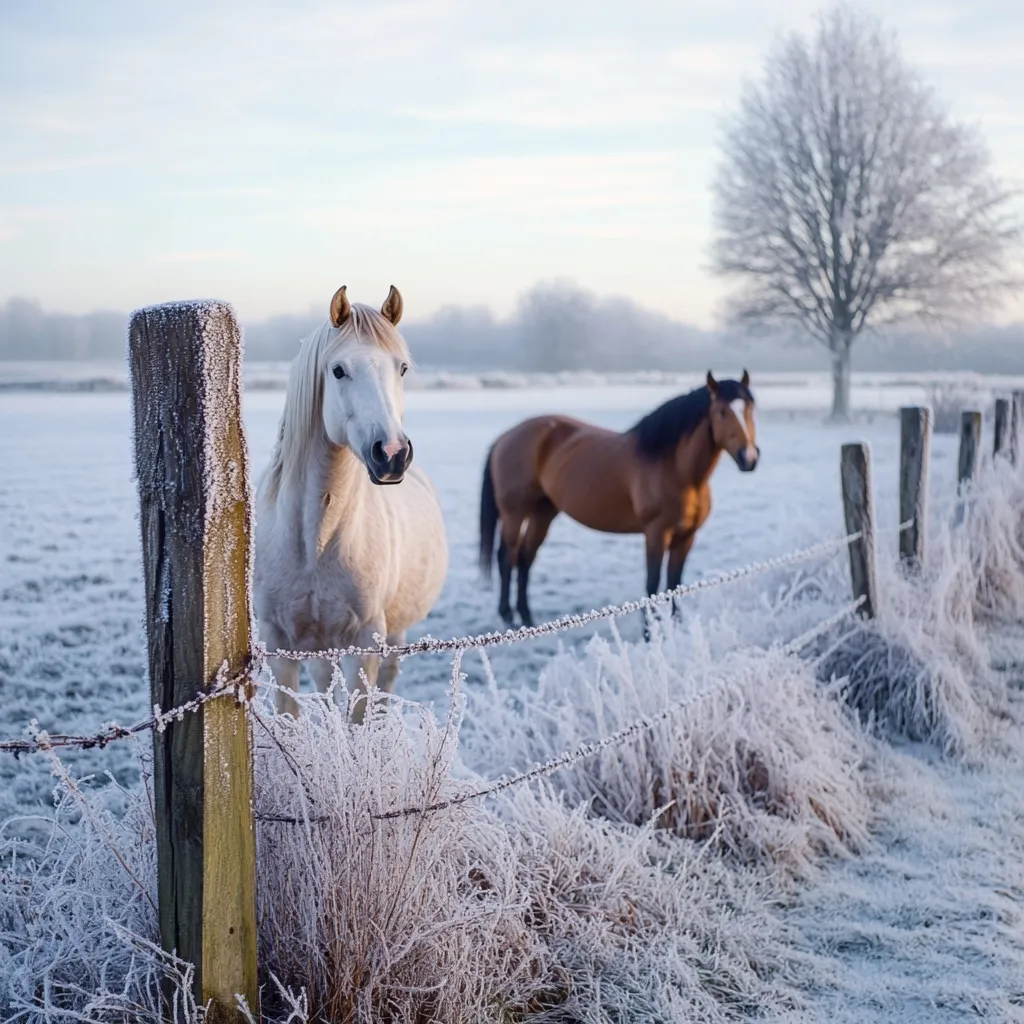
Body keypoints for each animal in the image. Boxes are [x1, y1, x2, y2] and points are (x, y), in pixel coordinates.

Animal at [254, 285, 448, 721]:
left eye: (402, 368)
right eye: (338, 370)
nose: (392, 454)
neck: (315, 542)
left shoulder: (365, 644)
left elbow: (359, 719)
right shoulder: (280, 646)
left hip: (392, 634)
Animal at [478, 371, 759, 628]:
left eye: (750, 408)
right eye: (721, 412)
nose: (749, 457)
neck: (676, 469)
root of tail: (505, 437)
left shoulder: (686, 537)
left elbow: (674, 584)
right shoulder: (656, 534)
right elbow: (652, 585)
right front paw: (650, 634)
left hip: (542, 513)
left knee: (525, 558)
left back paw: (527, 618)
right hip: (514, 513)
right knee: (507, 556)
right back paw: (508, 616)